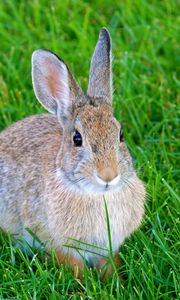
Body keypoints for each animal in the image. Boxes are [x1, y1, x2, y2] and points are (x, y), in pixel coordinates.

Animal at [0, 28, 146, 278]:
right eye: (77, 139)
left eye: (121, 135)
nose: (108, 175)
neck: (98, 195)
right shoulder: (59, 244)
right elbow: (73, 266)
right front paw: (85, 283)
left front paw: (116, 280)